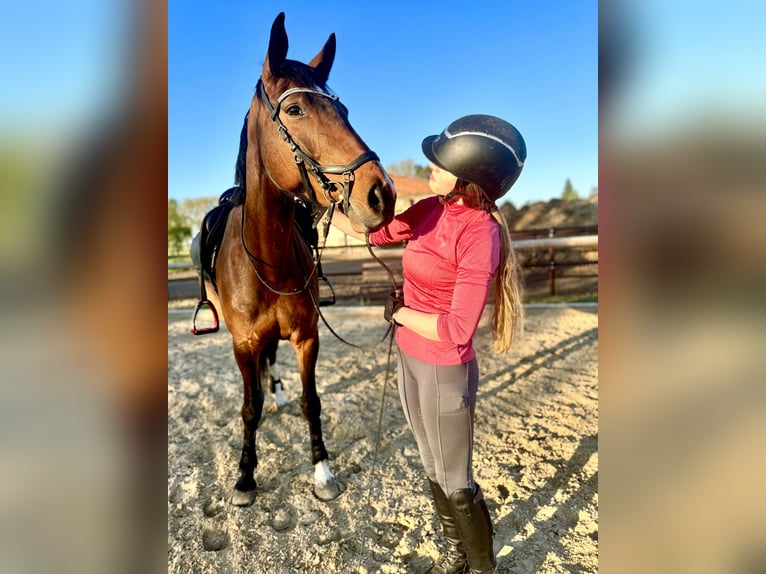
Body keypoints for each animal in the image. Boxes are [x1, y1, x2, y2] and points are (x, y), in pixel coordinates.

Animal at [211, 12, 395, 506]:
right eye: (295, 111)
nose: (382, 193)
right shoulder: (243, 344)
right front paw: (245, 477)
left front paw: (323, 471)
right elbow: (248, 407)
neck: (267, 261)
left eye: (344, 112)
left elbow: (310, 401)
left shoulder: (307, 337)